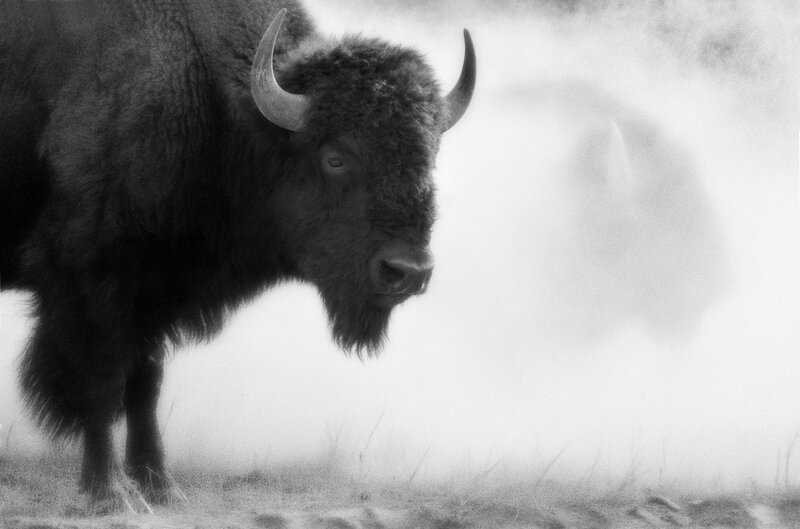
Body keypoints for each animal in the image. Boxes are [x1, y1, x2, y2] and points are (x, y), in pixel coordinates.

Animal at [0, 0, 475, 509]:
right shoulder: (95, 282)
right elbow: (104, 382)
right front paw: (111, 494)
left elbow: (145, 384)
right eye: (334, 157)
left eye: (428, 157)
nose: (408, 272)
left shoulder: (155, 290)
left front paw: (162, 487)